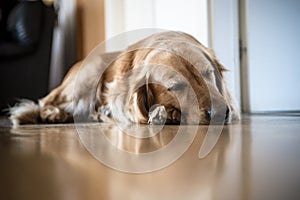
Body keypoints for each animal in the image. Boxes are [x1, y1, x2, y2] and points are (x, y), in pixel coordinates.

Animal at [8, 31, 240, 127]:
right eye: (176, 86)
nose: (221, 113)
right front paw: (161, 113)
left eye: (208, 73)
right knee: (45, 102)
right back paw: (53, 114)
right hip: (86, 80)